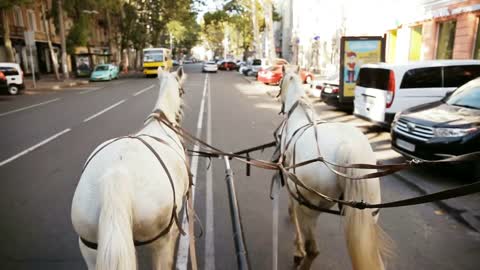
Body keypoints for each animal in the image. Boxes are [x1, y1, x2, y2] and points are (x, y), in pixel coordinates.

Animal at [71, 67, 188, 270]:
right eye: (182, 92)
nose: (181, 113)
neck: (160, 123)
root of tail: (116, 176)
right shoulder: (169, 233)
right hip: (160, 240)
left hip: (89, 247)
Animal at [278, 72, 390, 270]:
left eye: (279, 82)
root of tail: (348, 147)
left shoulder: (291, 180)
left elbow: (292, 207)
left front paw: (297, 249)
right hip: (370, 215)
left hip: (310, 209)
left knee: (313, 250)